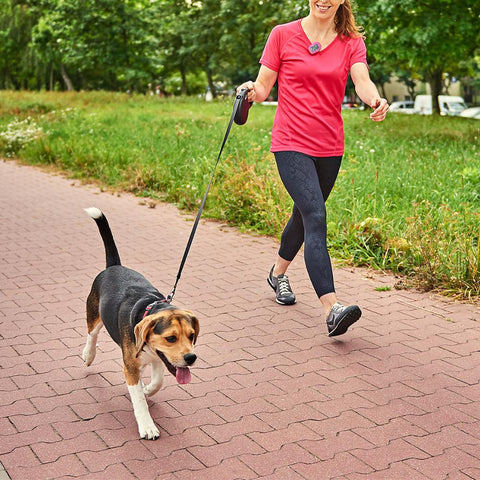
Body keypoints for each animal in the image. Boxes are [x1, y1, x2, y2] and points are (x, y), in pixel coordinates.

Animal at [81, 206, 198, 438]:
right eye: (171, 338)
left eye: (191, 336)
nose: (191, 358)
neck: (151, 307)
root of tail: (115, 266)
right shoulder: (131, 368)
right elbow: (139, 401)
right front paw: (147, 426)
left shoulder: (159, 358)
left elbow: (158, 382)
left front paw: (147, 389)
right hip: (94, 313)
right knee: (92, 334)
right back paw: (88, 355)